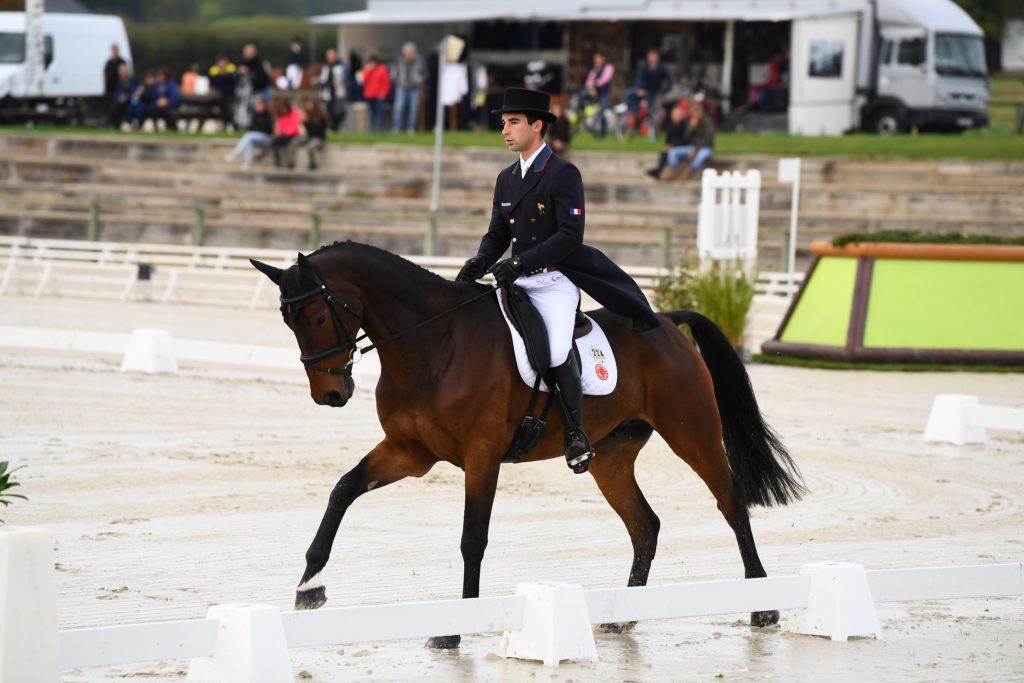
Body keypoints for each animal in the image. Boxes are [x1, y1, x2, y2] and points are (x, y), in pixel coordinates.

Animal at [251, 242, 802, 651]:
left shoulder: (481, 457)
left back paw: (763, 606)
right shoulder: (409, 452)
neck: (434, 345)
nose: (329, 394)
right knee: (645, 525)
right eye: (287, 321)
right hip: (612, 457)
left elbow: (472, 540)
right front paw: (308, 586)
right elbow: (343, 490)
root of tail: (665, 320)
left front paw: (454, 631)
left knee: (731, 503)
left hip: (693, 432)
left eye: (317, 318)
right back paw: (623, 619)